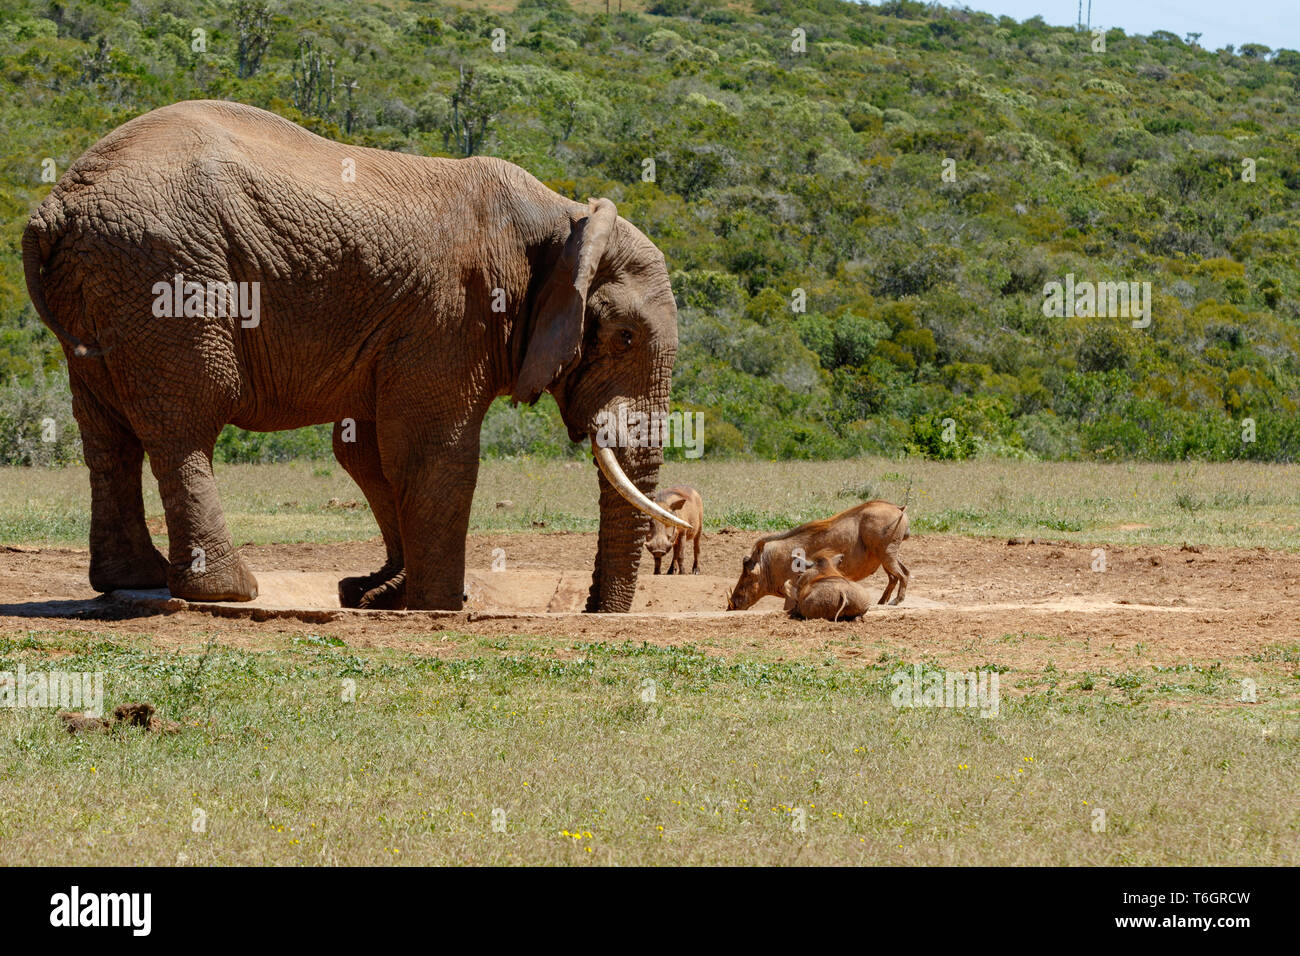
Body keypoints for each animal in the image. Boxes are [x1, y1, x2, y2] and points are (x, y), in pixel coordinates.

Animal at [22, 100, 691, 613]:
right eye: (624, 337)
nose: (589, 607)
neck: (565, 216)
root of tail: (54, 209)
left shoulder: (407, 326)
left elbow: (368, 452)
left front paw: (375, 594)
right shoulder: (454, 312)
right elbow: (433, 449)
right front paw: (436, 605)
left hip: (104, 284)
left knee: (106, 434)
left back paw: (133, 579)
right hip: (170, 276)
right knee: (184, 424)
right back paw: (229, 591)